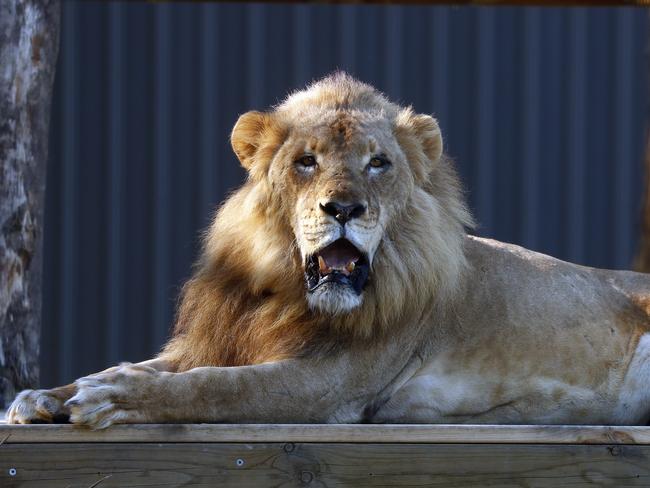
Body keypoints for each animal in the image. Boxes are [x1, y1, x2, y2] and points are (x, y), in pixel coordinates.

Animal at [7, 72, 648, 428]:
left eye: (378, 163)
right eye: (306, 161)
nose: (343, 209)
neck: (283, 292)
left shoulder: (326, 385)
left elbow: (212, 385)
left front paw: (116, 397)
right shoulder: (220, 339)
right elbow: (136, 365)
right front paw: (42, 396)